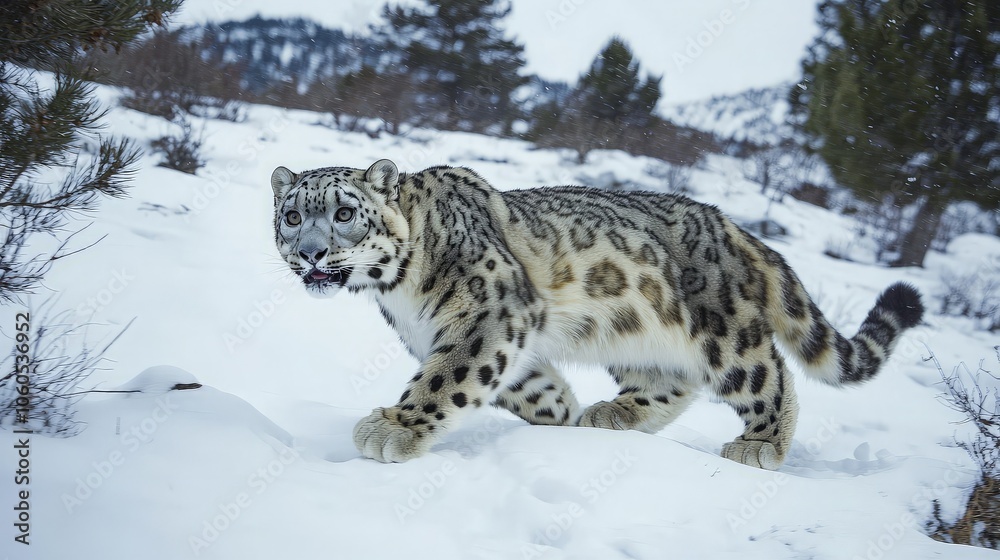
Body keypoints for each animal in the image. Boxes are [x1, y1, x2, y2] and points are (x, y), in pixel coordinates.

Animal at [270, 159, 924, 470]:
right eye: (293, 215)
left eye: (345, 213)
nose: (311, 253)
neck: (396, 291)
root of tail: (739, 231)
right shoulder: (491, 333)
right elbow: (517, 383)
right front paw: (558, 410)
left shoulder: (488, 315)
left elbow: (448, 377)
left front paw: (393, 429)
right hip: (633, 336)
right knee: (673, 381)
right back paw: (613, 415)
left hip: (726, 335)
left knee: (771, 375)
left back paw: (759, 444)